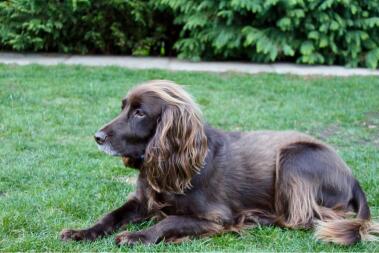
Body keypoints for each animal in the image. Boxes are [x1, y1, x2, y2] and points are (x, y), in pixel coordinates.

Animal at [60, 79, 378, 245]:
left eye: (140, 113)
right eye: (123, 107)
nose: (98, 137)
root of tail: (352, 176)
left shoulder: (216, 216)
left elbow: (170, 220)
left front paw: (138, 236)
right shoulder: (143, 198)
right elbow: (110, 215)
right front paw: (82, 232)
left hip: (295, 156)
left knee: (303, 217)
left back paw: (256, 218)